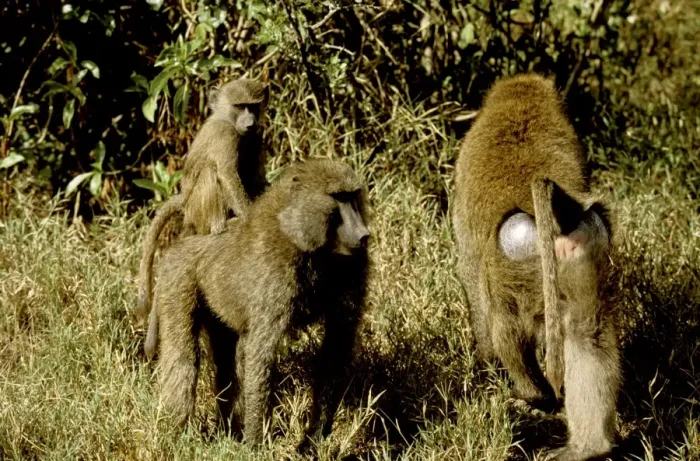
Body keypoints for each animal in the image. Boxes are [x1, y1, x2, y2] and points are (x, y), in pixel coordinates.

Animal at [134, 78, 270, 340]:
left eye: (253, 107)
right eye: (240, 106)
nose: (249, 123)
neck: (225, 119)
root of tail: (185, 204)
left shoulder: (254, 137)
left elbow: (257, 179)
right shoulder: (226, 135)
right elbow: (227, 173)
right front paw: (249, 220)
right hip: (198, 207)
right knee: (209, 171)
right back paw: (219, 226)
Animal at [148, 159, 370, 447]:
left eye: (353, 196)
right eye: (339, 197)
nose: (363, 235)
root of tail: (180, 243)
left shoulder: (353, 264)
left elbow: (335, 347)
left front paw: (312, 442)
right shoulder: (274, 271)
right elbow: (261, 352)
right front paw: (254, 445)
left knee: (228, 361)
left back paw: (227, 431)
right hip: (177, 280)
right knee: (184, 357)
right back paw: (176, 435)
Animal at [451, 73, 620, 461]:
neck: (520, 102)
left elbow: (476, 295)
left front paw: (484, 365)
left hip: (512, 260)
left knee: (502, 319)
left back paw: (533, 396)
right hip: (582, 243)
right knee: (586, 332)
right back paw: (589, 448)